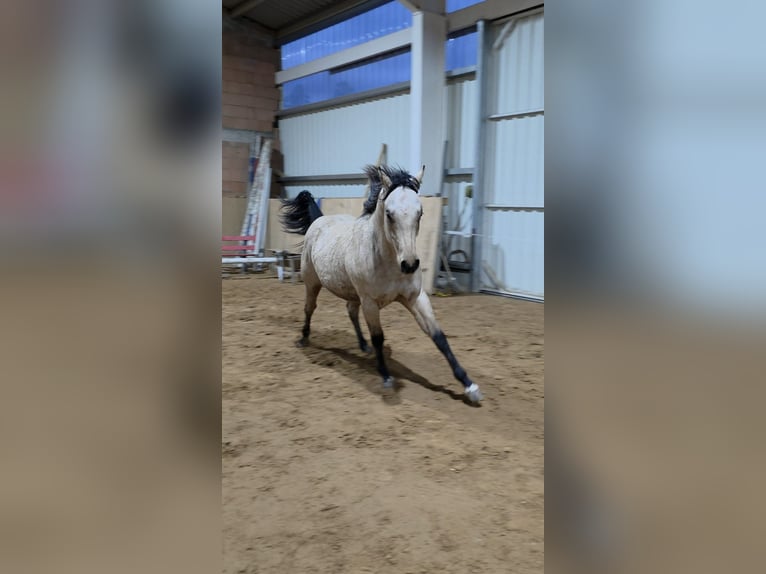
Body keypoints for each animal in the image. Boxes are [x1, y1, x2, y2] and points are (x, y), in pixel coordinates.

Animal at [281, 164, 482, 404]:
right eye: (389, 214)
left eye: (420, 212)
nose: (410, 264)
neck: (387, 262)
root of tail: (318, 221)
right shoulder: (370, 303)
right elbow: (378, 337)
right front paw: (386, 377)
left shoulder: (416, 297)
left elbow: (438, 336)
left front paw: (469, 386)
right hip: (312, 283)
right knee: (309, 308)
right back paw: (303, 339)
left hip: (352, 293)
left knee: (350, 311)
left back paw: (362, 345)